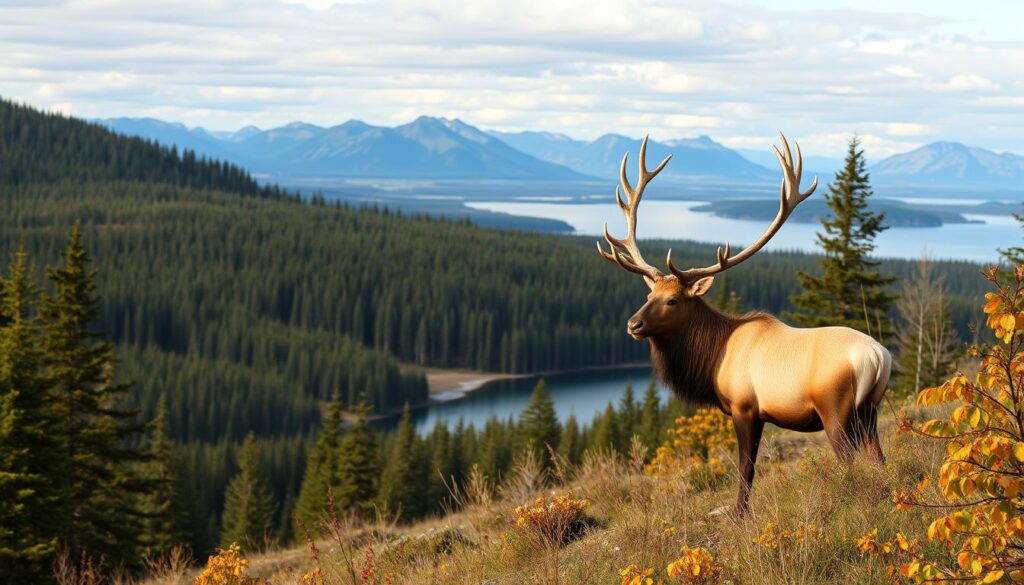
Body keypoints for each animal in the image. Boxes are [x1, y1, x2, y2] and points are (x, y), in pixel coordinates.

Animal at [598, 133, 892, 512]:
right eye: (649, 295)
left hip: (836, 409)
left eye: (673, 300)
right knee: (878, 458)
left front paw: (739, 512)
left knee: (849, 460)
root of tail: (879, 357)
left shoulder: (744, 406)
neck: (711, 360)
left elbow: (745, 467)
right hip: (871, 409)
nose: (633, 324)